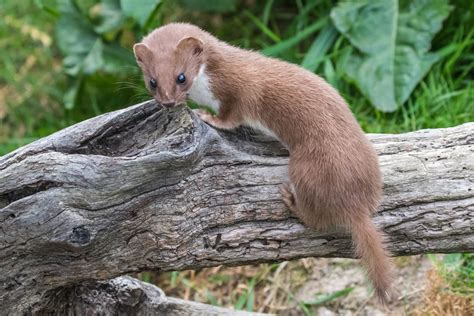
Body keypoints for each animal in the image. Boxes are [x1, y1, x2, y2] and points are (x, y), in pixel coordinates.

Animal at [132, 22, 392, 304]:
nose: (168, 101)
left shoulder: (239, 93)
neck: (208, 86)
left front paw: (208, 117)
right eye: (152, 81)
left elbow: (232, 116)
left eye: (181, 76)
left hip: (305, 168)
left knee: (315, 219)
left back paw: (290, 200)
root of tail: (356, 204)